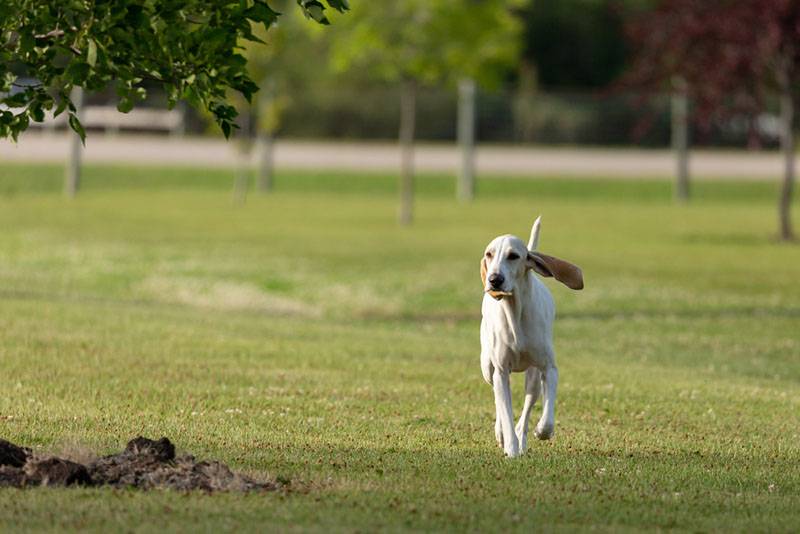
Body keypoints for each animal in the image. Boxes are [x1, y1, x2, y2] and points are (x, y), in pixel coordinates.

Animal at [478, 218, 584, 460]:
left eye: (513, 256)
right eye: (489, 254)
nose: (494, 279)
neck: (515, 313)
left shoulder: (549, 368)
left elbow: (547, 417)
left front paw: (540, 431)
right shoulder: (501, 371)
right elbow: (505, 410)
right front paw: (510, 446)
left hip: (533, 377)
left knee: (528, 404)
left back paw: (523, 436)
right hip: (487, 367)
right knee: (497, 397)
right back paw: (503, 434)